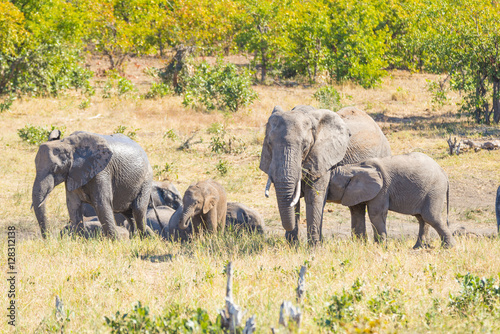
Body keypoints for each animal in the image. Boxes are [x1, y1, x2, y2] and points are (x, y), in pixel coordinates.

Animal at [262, 105, 390, 244]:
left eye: (305, 146)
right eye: (269, 143)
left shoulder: (323, 159)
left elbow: (314, 198)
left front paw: (314, 247)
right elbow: (293, 199)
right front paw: (292, 247)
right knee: (356, 207)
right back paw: (359, 243)